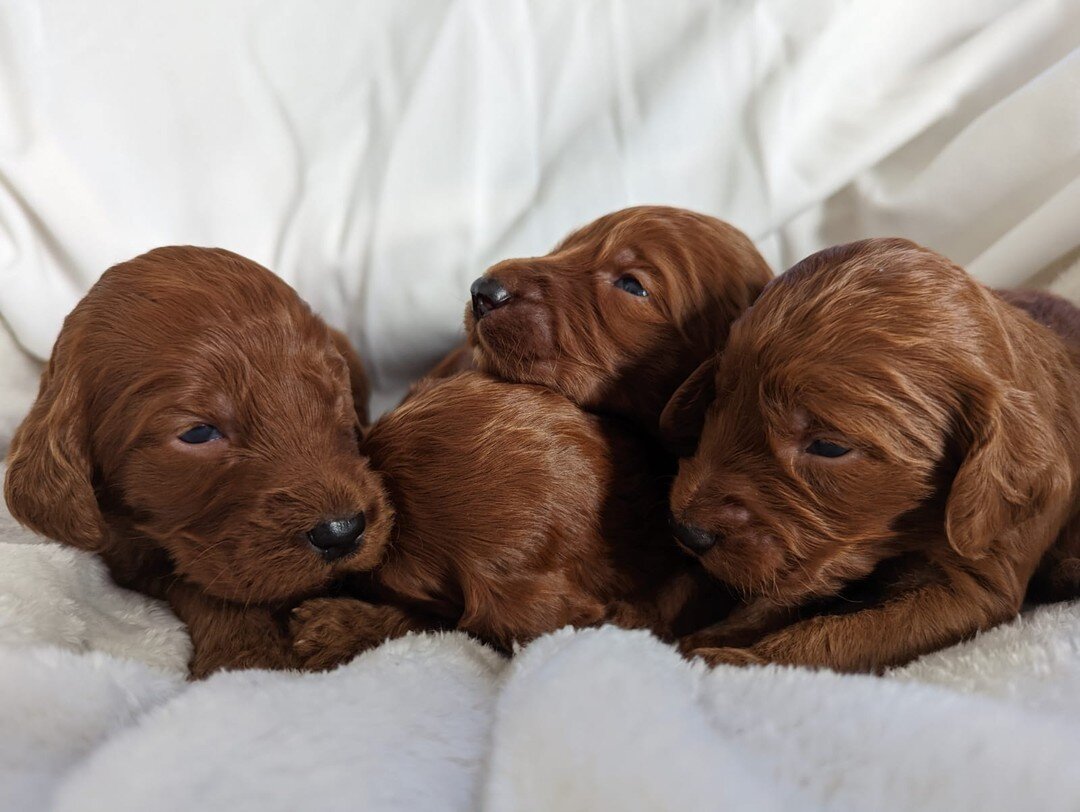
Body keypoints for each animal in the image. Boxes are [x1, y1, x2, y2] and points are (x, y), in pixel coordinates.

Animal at [2, 247, 384, 678]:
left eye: (336, 399)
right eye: (199, 433)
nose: (341, 532)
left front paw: (344, 627)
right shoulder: (125, 552)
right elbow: (197, 586)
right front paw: (246, 653)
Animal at [665, 239, 1080, 673]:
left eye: (829, 447)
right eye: (717, 397)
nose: (685, 530)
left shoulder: (979, 582)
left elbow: (841, 635)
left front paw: (743, 660)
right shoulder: (826, 554)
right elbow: (789, 592)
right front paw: (718, 633)